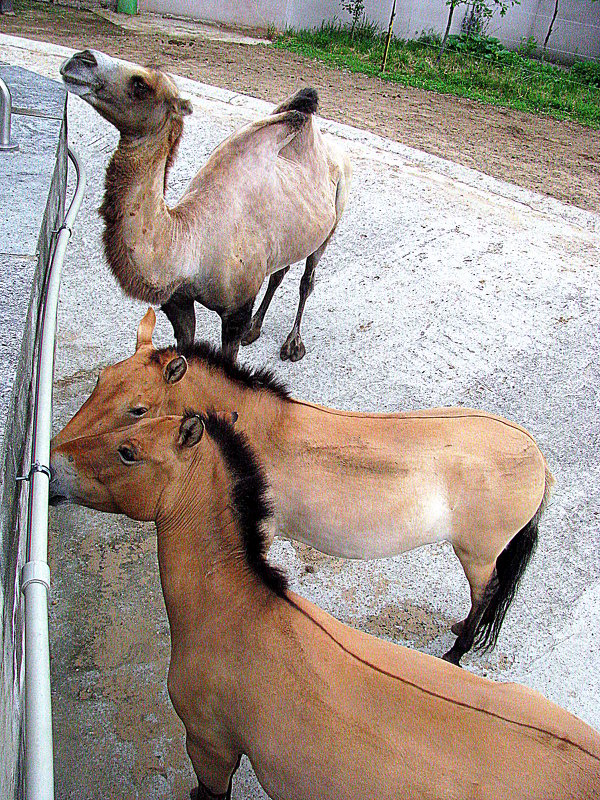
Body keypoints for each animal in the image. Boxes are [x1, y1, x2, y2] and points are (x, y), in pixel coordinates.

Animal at [52, 310, 552, 664]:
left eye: (137, 409)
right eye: (100, 379)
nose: (55, 453)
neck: (259, 430)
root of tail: (538, 459)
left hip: (477, 553)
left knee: (485, 594)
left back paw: (456, 652)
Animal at [59, 50, 352, 362]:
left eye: (141, 85)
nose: (82, 57)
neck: (191, 246)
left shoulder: (235, 310)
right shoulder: (178, 302)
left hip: (336, 213)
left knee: (307, 279)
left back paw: (293, 343)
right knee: (278, 273)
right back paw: (255, 329)